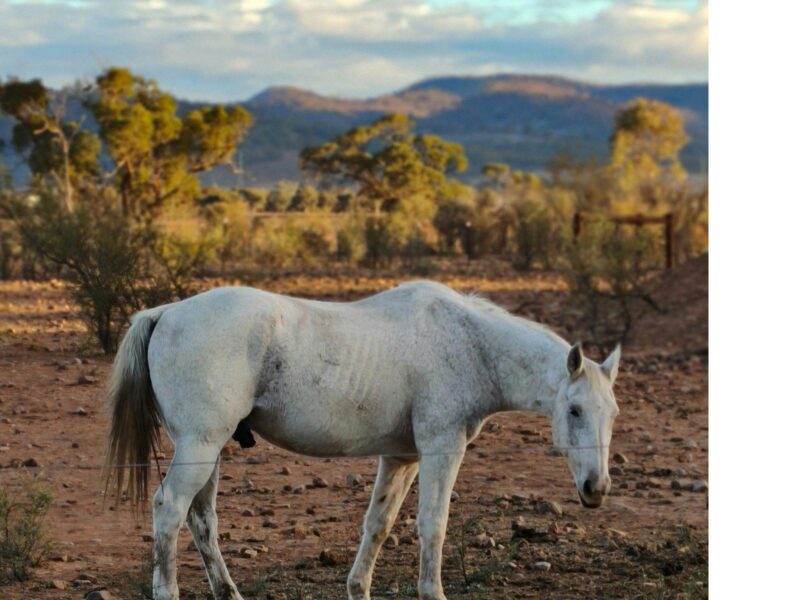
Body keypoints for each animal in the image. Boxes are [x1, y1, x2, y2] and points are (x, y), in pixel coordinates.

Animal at [105, 280, 621, 600]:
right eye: (574, 411)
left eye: (612, 414)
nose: (596, 489)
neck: (469, 342)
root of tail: (166, 312)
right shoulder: (442, 448)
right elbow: (432, 525)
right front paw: (432, 591)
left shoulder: (401, 457)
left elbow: (379, 524)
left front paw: (358, 588)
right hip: (199, 446)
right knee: (169, 509)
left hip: (207, 452)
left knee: (202, 520)